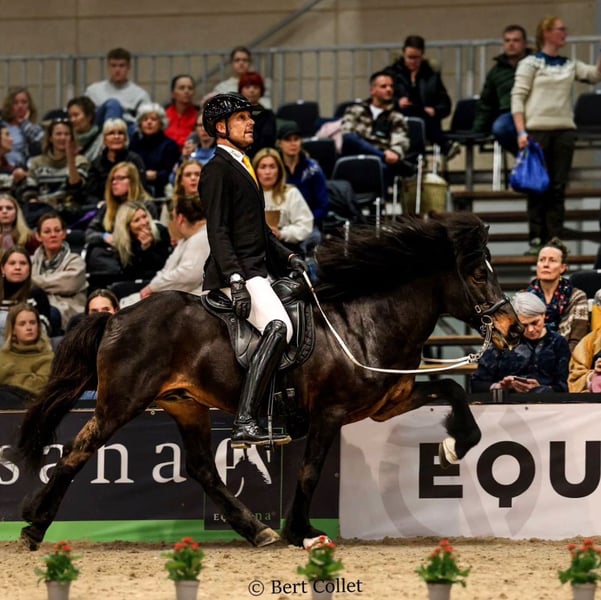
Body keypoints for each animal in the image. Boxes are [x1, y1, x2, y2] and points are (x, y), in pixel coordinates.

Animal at [11, 212, 521, 551]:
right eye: (478, 274)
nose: (513, 329)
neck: (365, 324)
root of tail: (116, 315)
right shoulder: (330, 413)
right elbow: (310, 470)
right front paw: (304, 532)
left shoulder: (387, 402)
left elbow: (453, 391)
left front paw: (454, 447)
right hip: (122, 402)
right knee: (80, 446)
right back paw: (34, 524)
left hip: (185, 404)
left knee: (202, 468)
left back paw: (257, 530)